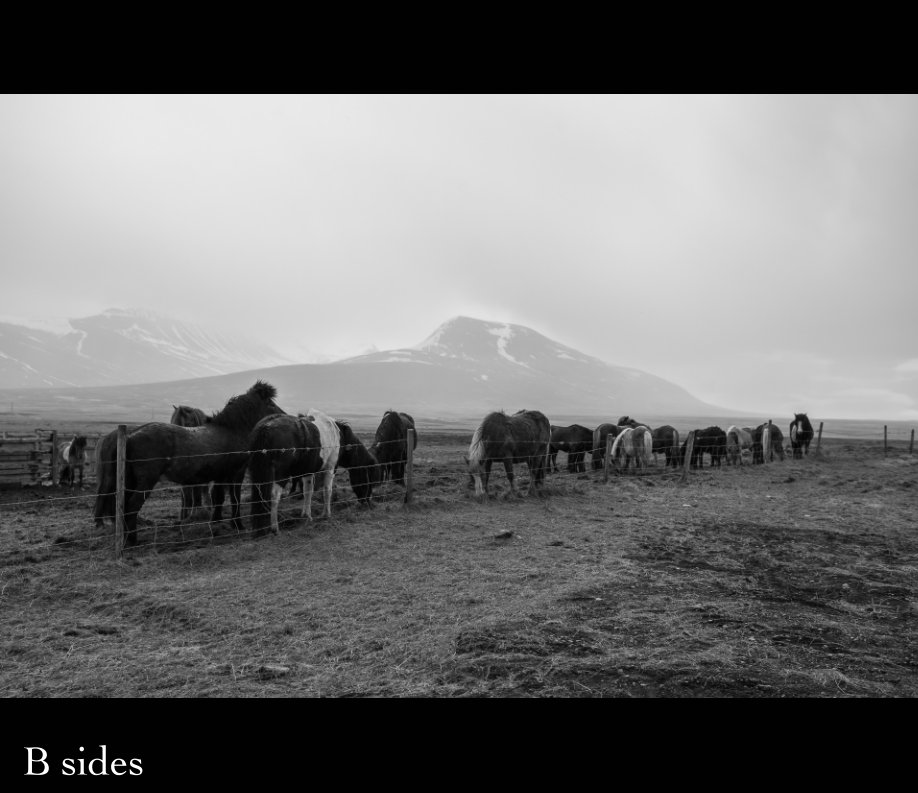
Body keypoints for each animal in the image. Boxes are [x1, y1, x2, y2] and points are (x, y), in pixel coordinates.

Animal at [95, 382, 286, 544]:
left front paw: (216, 522)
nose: (283, 415)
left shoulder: (220, 475)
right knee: (132, 506)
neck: (231, 430)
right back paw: (131, 542)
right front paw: (238, 525)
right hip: (145, 482)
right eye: (270, 404)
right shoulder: (236, 473)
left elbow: (218, 498)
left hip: (130, 481)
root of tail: (130, 436)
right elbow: (234, 499)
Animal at [246, 408, 380, 532]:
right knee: (274, 496)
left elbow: (307, 492)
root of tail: (266, 427)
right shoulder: (331, 468)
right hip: (281, 474)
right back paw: (275, 528)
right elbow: (327, 490)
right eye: (369, 480)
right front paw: (326, 514)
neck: (339, 436)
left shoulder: (308, 472)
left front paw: (307, 515)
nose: (367, 502)